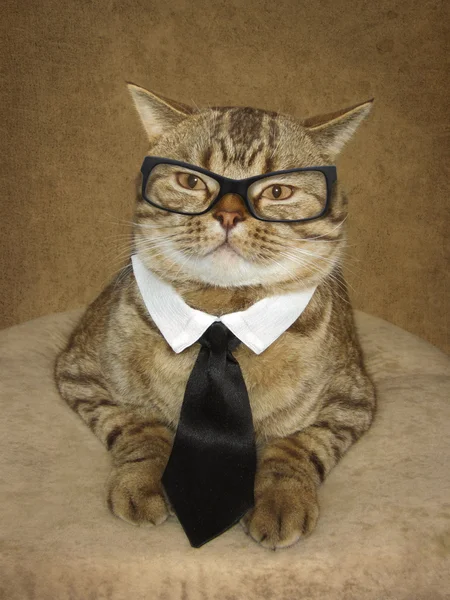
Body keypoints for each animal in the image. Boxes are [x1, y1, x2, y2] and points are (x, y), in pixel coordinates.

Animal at [53, 84, 376, 548]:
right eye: (191, 181)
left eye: (278, 192)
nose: (228, 214)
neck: (220, 312)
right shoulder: (78, 371)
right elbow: (140, 426)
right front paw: (142, 481)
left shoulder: (354, 401)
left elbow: (296, 446)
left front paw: (282, 500)